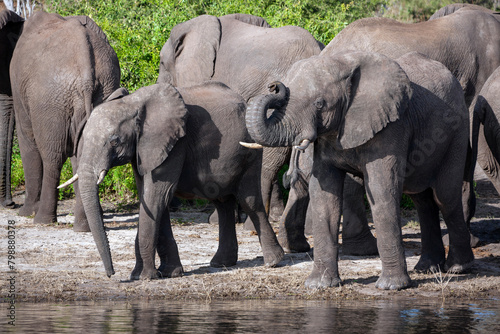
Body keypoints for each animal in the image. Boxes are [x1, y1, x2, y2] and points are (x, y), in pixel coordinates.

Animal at [10, 10, 121, 230]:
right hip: (102, 89)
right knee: (82, 156)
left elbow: (27, 138)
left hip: (49, 100)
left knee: (52, 156)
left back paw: (41, 220)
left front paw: (24, 213)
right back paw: (83, 227)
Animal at [62, 81, 284, 280]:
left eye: (114, 141)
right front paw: (170, 273)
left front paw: (142, 277)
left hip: (250, 151)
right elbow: (152, 198)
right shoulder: (143, 149)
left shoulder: (175, 143)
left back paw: (273, 262)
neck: (133, 102)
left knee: (249, 201)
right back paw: (221, 263)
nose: (112, 274)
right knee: (222, 203)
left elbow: (156, 195)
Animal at [246, 49, 476, 290]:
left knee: (446, 197)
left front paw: (391, 287)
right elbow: (324, 196)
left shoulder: (392, 126)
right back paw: (426, 268)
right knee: (422, 201)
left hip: (458, 130)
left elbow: (381, 189)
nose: (275, 86)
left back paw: (458, 268)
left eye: (319, 104)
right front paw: (319, 285)